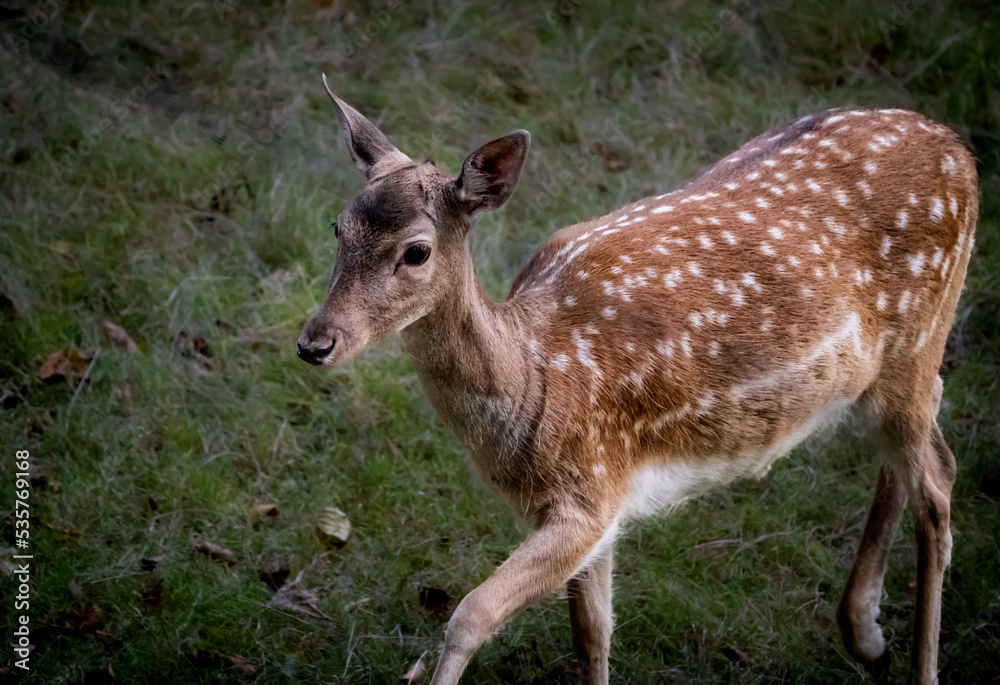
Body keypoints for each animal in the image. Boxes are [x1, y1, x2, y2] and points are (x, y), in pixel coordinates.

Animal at [294, 75, 976, 684]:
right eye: (337, 227)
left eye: (416, 251)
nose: (314, 342)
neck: (536, 381)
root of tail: (959, 150)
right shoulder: (596, 509)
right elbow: (593, 633)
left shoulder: (590, 491)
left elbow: (470, 615)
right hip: (891, 371)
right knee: (925, 438)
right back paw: (865, 633)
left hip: (917, 338)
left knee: (939, 481)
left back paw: (919, 665)